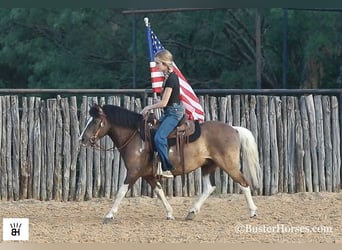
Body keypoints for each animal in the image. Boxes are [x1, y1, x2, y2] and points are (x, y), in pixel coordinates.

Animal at [79, 102, 262, 224]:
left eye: (95, 121)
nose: (82, 139)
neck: (137, 137)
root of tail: (234, 129)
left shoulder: (133, 173)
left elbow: (121, 192)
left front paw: (109, 215)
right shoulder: (148, 175)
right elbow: (159, 192)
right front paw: (170, 213)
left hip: (229, 165)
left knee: (243, 183)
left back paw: (253, 211)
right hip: (208, 166)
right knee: (209, 188)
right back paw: (191, 212)